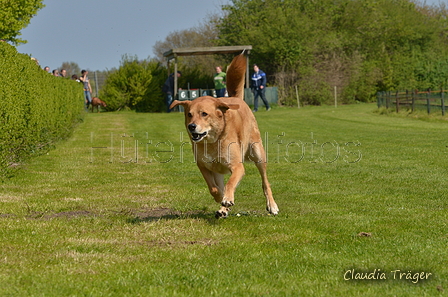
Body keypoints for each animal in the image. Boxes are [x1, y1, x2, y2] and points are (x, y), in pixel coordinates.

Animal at [170, 53, 278, 216]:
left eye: (204, 114)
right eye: (189, 114)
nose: (191, 126)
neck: (212, 142)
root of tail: (237, 99)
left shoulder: (237, 167)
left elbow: (230, 183)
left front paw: (226, 199)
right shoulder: (204, 167)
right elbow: (213, 188)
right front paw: (222, 200)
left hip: (258, 154)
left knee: (265, 182)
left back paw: (272, 205)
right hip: (219, 171)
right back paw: (223, 209)